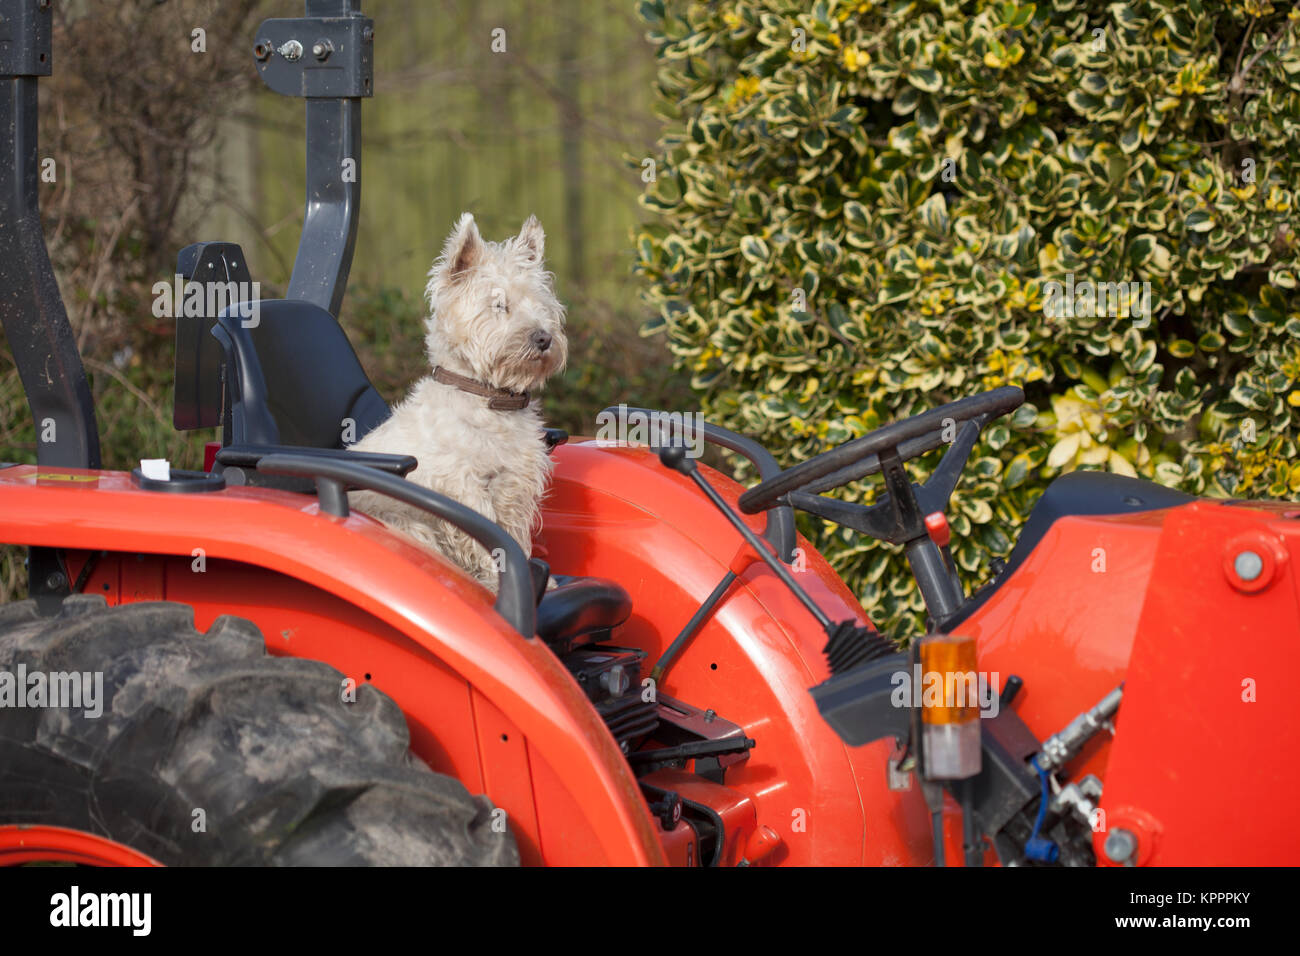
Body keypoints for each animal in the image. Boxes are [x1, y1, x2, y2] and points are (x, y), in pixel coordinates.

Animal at [348, 214, 566, 590]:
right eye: (498, 304)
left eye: (542, 306)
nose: (544, 338)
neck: (488, 399)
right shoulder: (462, 485)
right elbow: (488, 537)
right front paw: (496, 581)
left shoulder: (515, 483)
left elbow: (514, 536)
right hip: (405, 524)